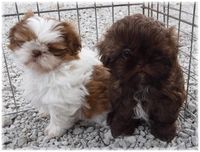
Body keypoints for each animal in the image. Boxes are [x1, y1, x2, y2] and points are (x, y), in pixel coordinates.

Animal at [97, 13, 186, 141]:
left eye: (155, 53)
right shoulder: (122, 97)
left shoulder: (169, 96)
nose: (142, 62)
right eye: (126, 53)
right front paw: (122, 130)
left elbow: (164, 117)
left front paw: (164, 133)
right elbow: (124, 115)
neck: (141, 86)